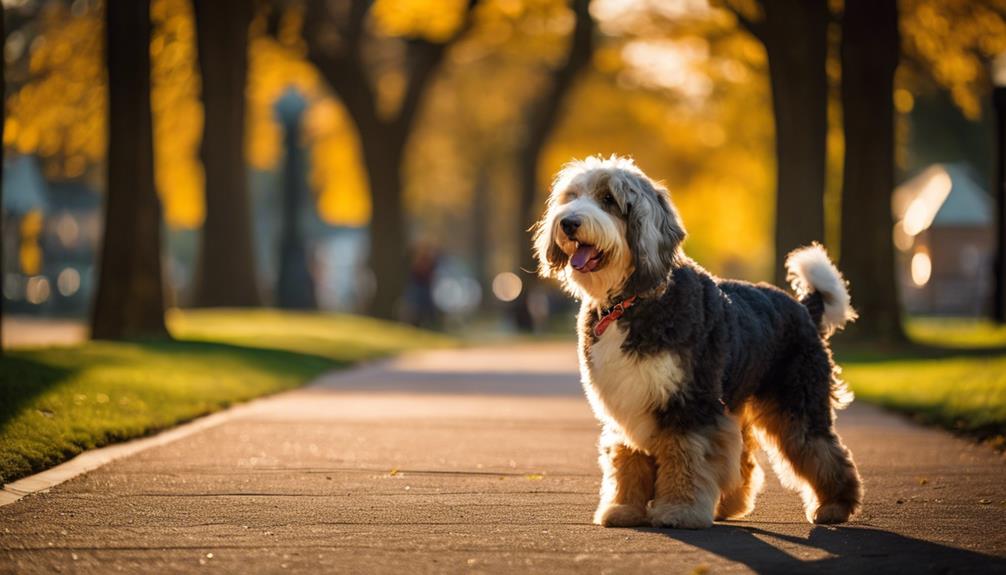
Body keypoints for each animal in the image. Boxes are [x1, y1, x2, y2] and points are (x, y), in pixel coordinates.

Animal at [535, 154, 865, 526]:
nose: (568, 223)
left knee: (822, 448)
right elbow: (628, 457)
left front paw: (680, 509)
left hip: (797, 400)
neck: (630, 301)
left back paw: (835, 505)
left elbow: (686, 456)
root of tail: (805, 308)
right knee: (745, 460)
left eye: (608, 199)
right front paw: (624, 508)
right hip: (739, 402)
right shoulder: (628, 400)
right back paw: (729, 506)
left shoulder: (689, 401)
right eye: (572, 196)